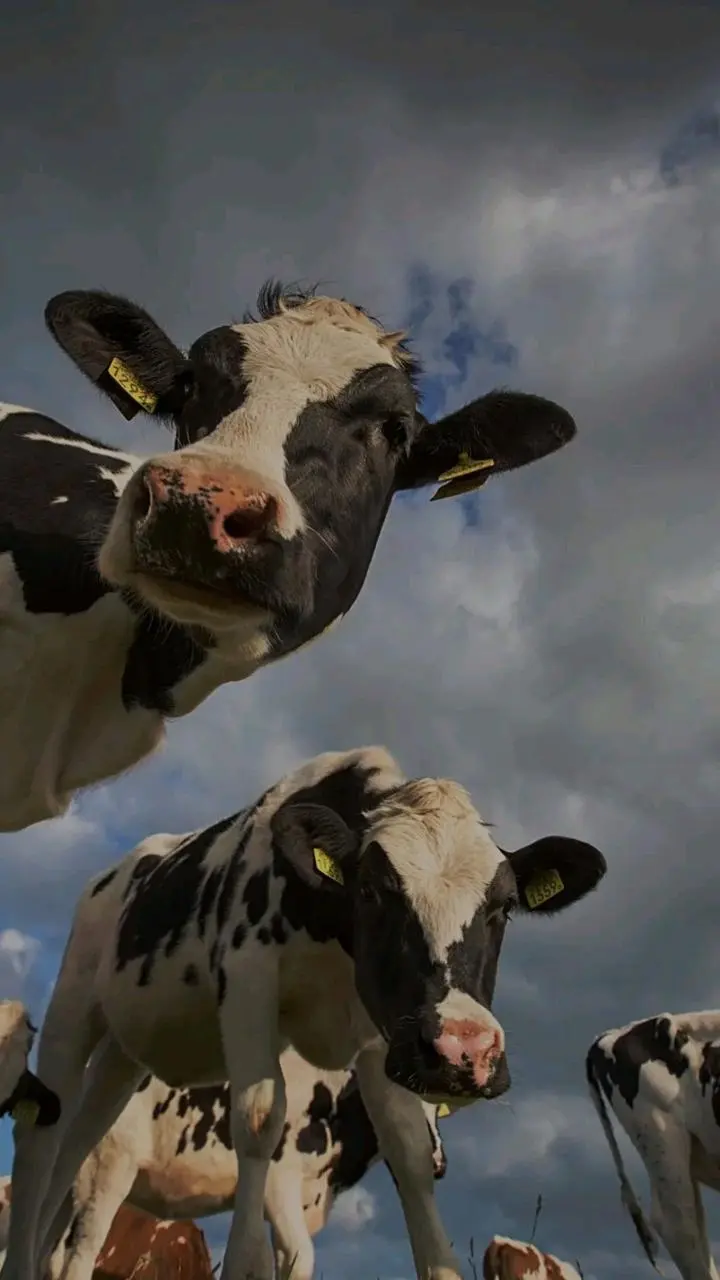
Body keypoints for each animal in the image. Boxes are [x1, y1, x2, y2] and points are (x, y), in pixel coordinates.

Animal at [0, 1047, 447, 1280]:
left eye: (436, 1111)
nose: (438, 1161)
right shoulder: (279, 1184)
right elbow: (300, 1255)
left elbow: (262, 1261)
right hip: (107, 1170)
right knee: (78, 1252)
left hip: (70, 1185)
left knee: (44, 1249)